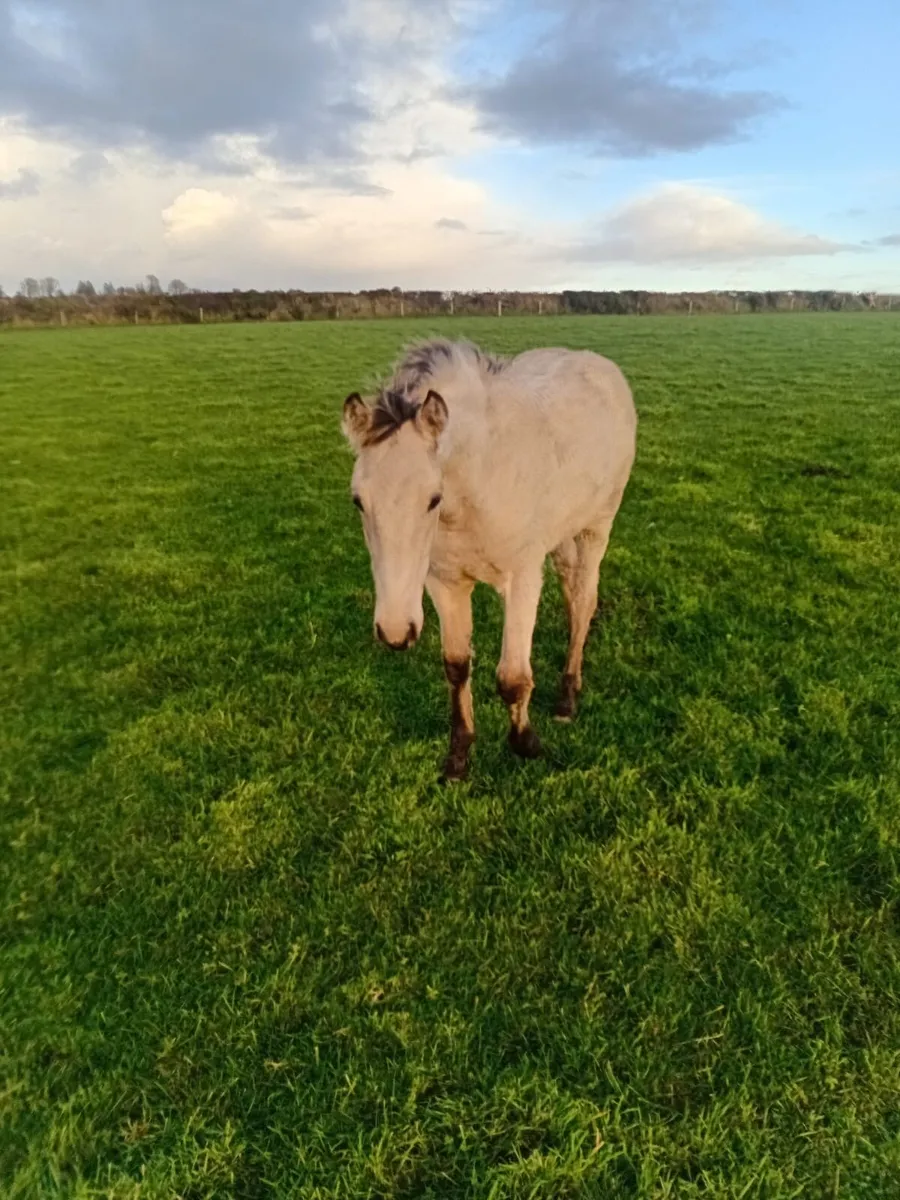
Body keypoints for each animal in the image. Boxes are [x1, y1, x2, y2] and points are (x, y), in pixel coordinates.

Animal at [341, 337, 637, 780]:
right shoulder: (444, 583)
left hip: (596, 526)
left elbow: (512, 677)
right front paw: (458, 757)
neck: (477, 483)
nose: (395, 632)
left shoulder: (523, 577)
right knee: (572, 593)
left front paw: (527, 744)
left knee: (585, 601)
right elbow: (456, 665)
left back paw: (567, 698)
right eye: (358, 501)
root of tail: (600, 365)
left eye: (433, 498)